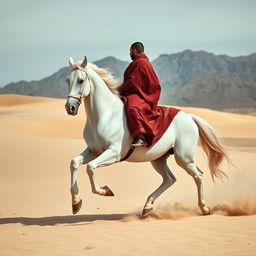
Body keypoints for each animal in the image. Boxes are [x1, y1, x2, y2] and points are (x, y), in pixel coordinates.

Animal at [64, 56, 230, 218]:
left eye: (81, 80)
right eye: (67, 80)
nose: (70, 108)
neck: (105, 115)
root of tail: (189, 118)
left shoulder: (114, 153)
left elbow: (91, 168)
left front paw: (105, 191)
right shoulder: (93, 150)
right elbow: (74, 163)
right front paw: (76, 203)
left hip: (184, 158)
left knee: (198, 176)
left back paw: (204, 208)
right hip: (158, 159)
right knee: (170, 179)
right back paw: (148, 207)